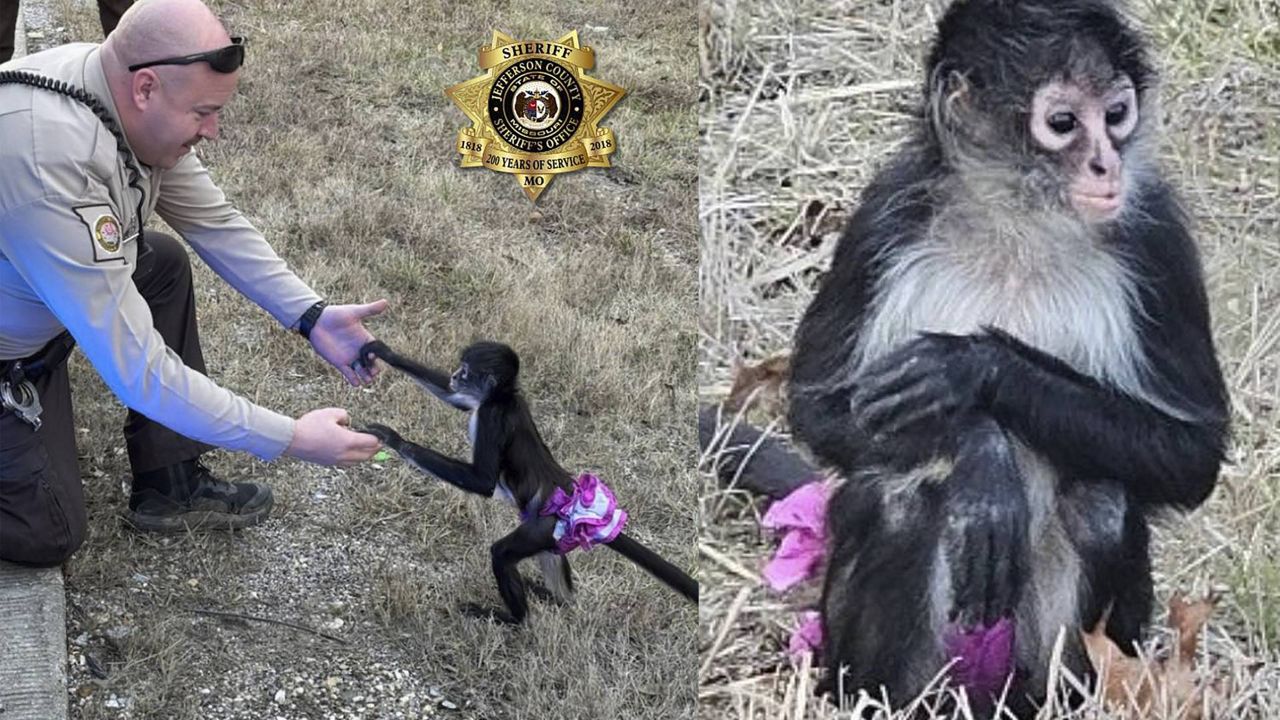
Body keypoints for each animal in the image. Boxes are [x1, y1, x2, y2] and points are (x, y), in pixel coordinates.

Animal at [358, 338, 701, 620]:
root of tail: (572, 493)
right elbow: (456, 399)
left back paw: (514, 619)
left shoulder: (492, 417)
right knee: (553, 565)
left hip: (542, 528)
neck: (503, 398)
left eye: (465, 371)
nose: (455, 375)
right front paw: (385, 352)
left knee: (501, 554)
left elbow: (483, 482)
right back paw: (556, 599)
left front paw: (395, 440)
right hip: (554, 534)